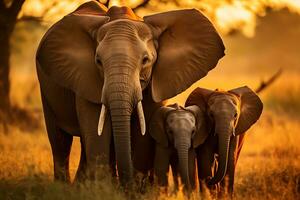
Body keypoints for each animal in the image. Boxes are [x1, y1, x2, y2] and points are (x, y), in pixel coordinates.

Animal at [35, 0, 225, 187]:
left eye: (146, 60)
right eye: (98, 61)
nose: (126, 185)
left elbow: (143, 131)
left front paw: (132, 188)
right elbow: (95, 129)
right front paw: (104, 189)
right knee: (60, 142)